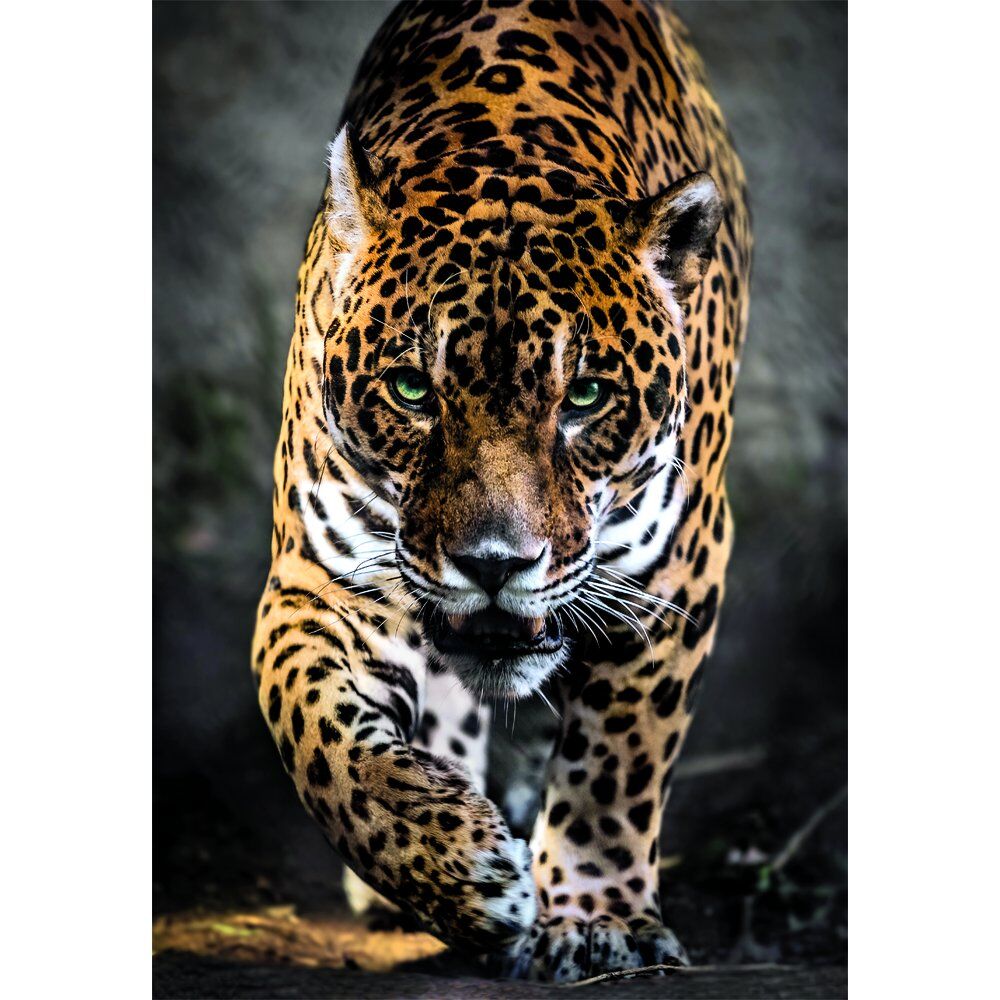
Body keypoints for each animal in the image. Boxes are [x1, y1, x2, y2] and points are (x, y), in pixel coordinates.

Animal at [251, 0, 751, 982]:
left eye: (585, 397)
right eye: (413, 389)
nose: (493, 564)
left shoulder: (675, 573)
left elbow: (616, 762)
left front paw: (597, 920)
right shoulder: (317, 578)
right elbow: (316, 732)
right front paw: (457, 869)